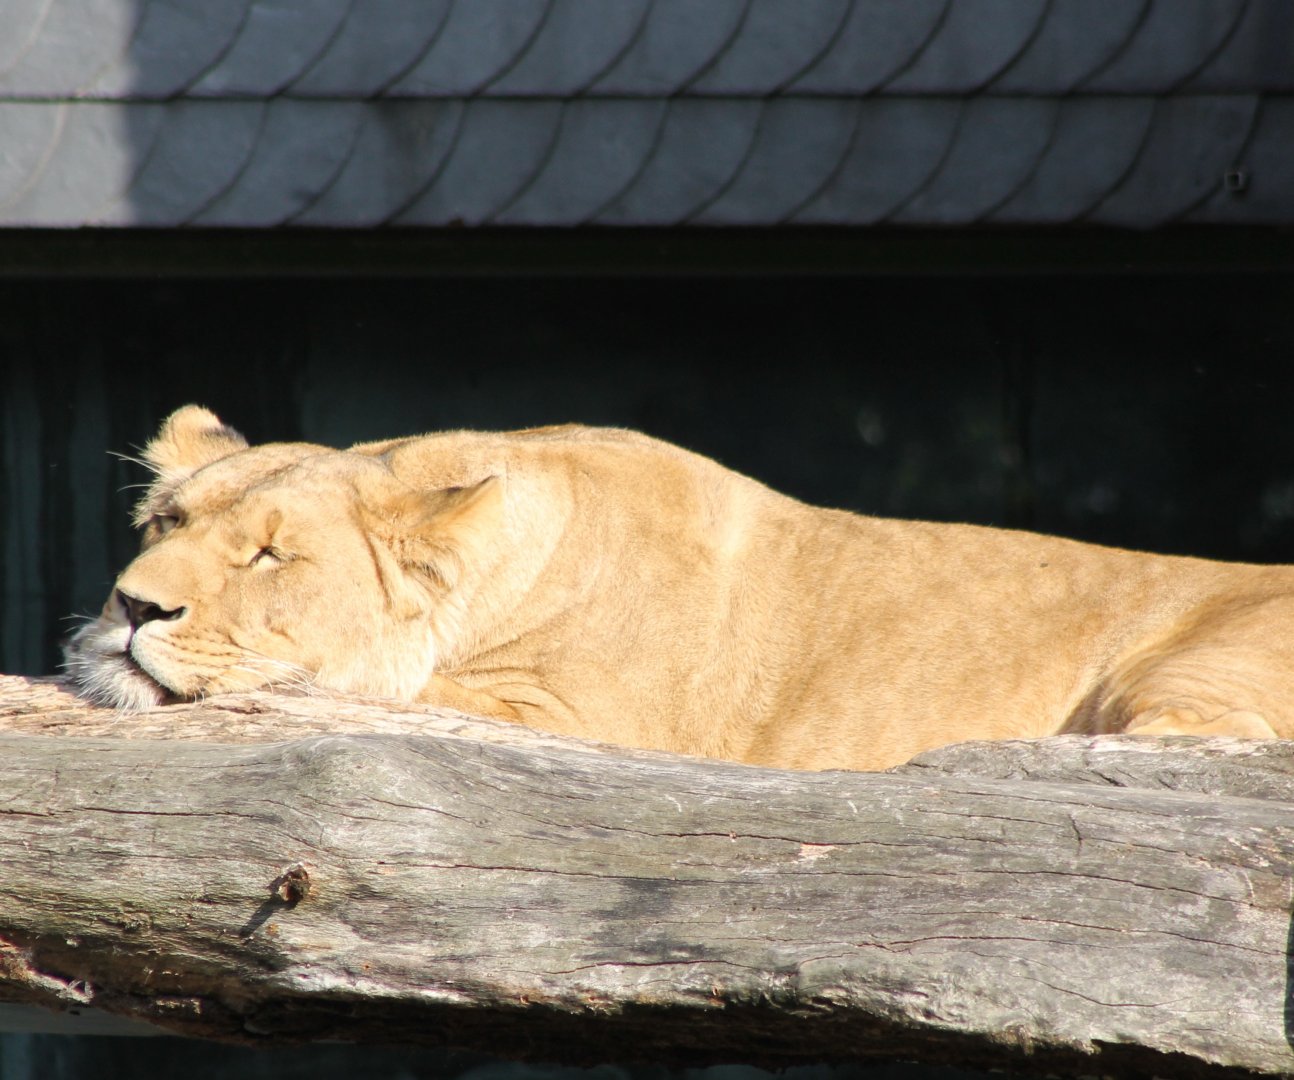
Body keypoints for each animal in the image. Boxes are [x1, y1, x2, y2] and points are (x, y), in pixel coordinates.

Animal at [64, 405, 1294, 770]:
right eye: (165, 525)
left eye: (269, 556)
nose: (134, 605)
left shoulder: (588, 722)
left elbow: (370, 692)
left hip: (1185, 673)